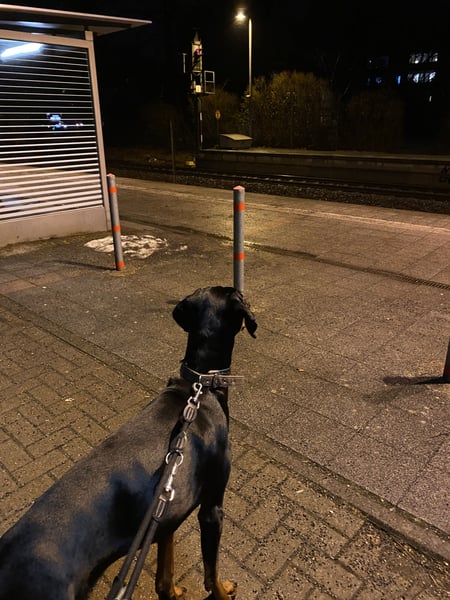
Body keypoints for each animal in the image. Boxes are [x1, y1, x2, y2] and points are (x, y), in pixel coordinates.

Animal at [0, 286, 257, 600]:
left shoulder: (165, 512)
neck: (200, 386)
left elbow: (165, 575)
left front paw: (173, 591)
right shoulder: (212, 509)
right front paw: (223, 589)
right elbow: (212, 574)